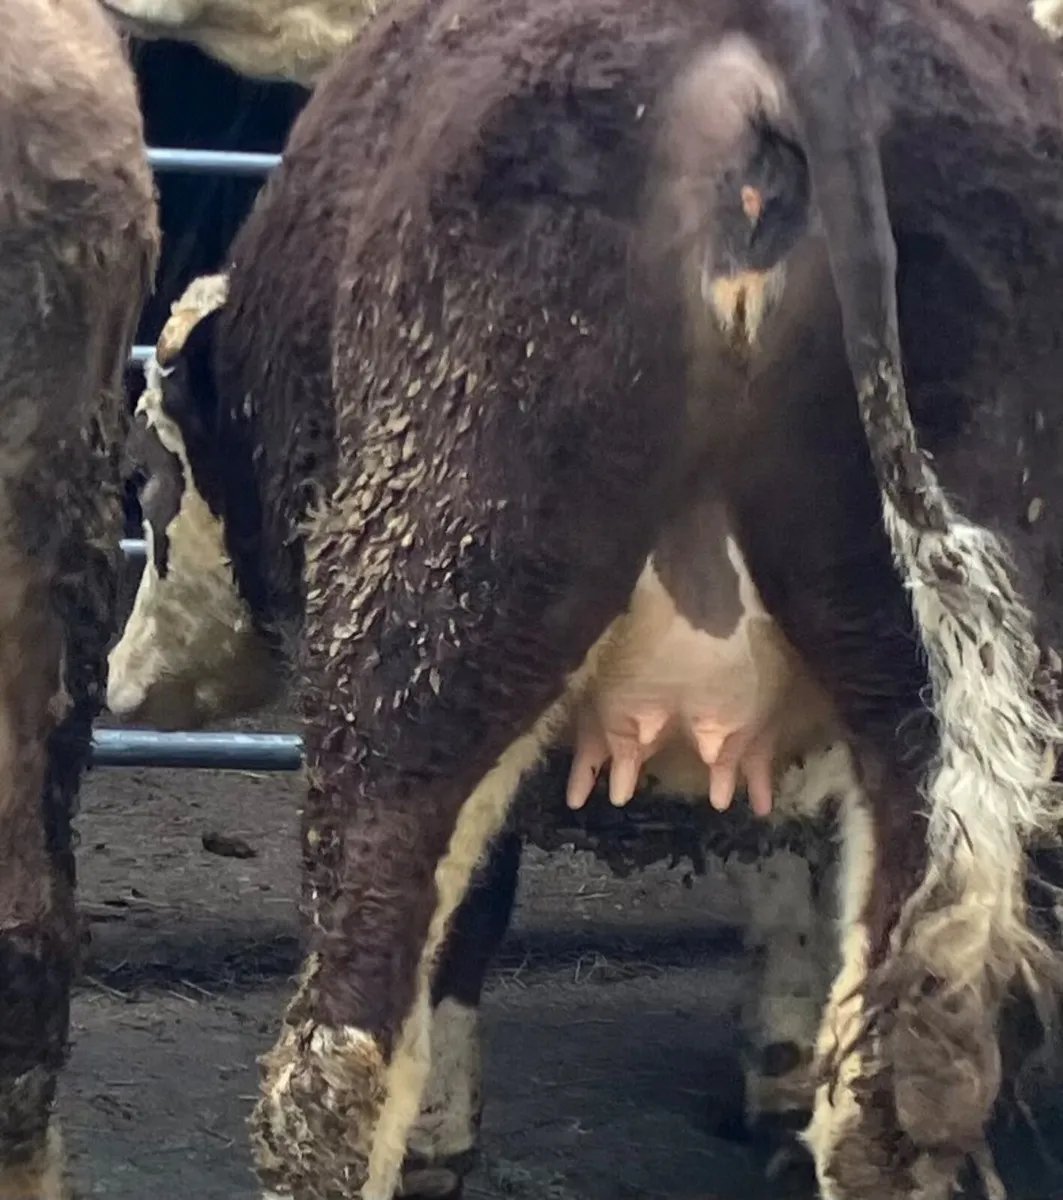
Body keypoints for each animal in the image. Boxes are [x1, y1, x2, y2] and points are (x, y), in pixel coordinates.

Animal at [104, 0, 1063, 1197]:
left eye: (148, 473)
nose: (122, 683)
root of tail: (782, 33)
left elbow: (471, 920)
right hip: (930, 693)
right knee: (884, 1101)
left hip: (429, 624)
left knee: (336, 1064)